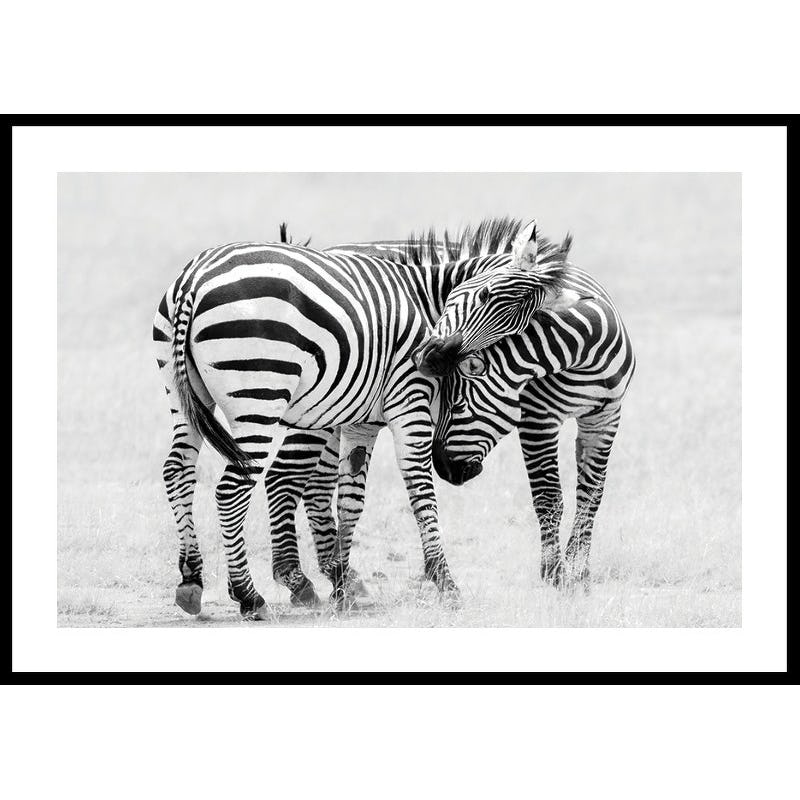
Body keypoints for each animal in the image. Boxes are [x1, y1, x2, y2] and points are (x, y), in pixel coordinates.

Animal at [152, 222, 573, 617]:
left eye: (515, 327)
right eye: (486, 295)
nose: (432, 359)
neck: (425, 300)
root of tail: (195, 278)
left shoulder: (363, 421)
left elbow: (351, 499)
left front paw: (343, 585)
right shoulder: (409, 402)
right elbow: (420, 489)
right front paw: (445, 581)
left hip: (185, 396)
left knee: (178, 472)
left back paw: (192, 579)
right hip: (261, 394)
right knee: (232, 490)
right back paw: (249, 596)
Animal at [415, 222, 635, 585]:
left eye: (458, 406)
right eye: (483, 296)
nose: (433, 361)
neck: (585, 359)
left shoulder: (606, 419)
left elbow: (592, 493)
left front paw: (579, 569)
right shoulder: (537, 420)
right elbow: (548, 497)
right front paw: (553, 573)